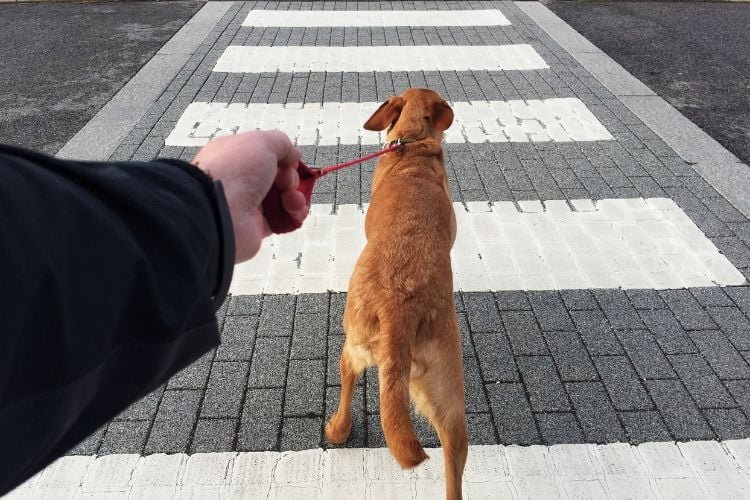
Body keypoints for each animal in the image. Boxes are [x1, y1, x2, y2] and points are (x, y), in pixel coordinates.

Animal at [324, 90, 468, 500]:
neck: (412, 145)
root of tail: (398, 310)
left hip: (353, 344)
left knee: (346, 382)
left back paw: (337, 428)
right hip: (449, 397)